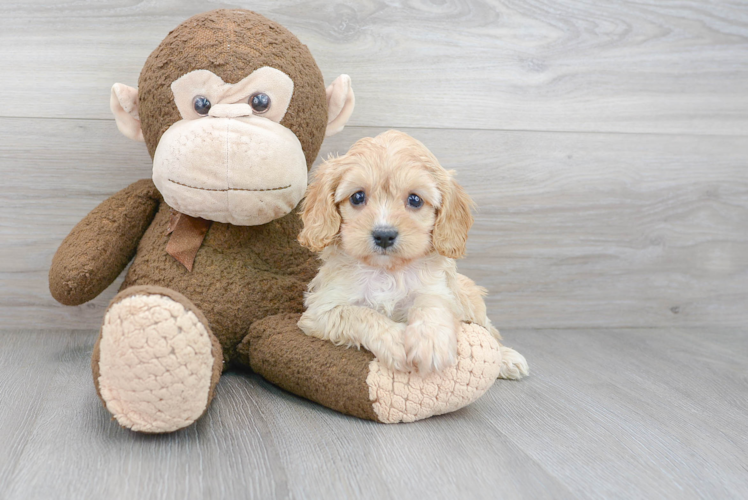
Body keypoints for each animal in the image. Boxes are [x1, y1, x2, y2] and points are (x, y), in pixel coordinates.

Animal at [296, 130, 524, 378]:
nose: (384, 235)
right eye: (357, 197)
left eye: (415, 199)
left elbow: (431, 303)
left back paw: (507, 358)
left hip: (471, 300)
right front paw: (395, 342)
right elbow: (360, 314)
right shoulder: (321, 310)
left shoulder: (438, 289)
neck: (386, 271)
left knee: (489, 330)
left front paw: (431, 342)